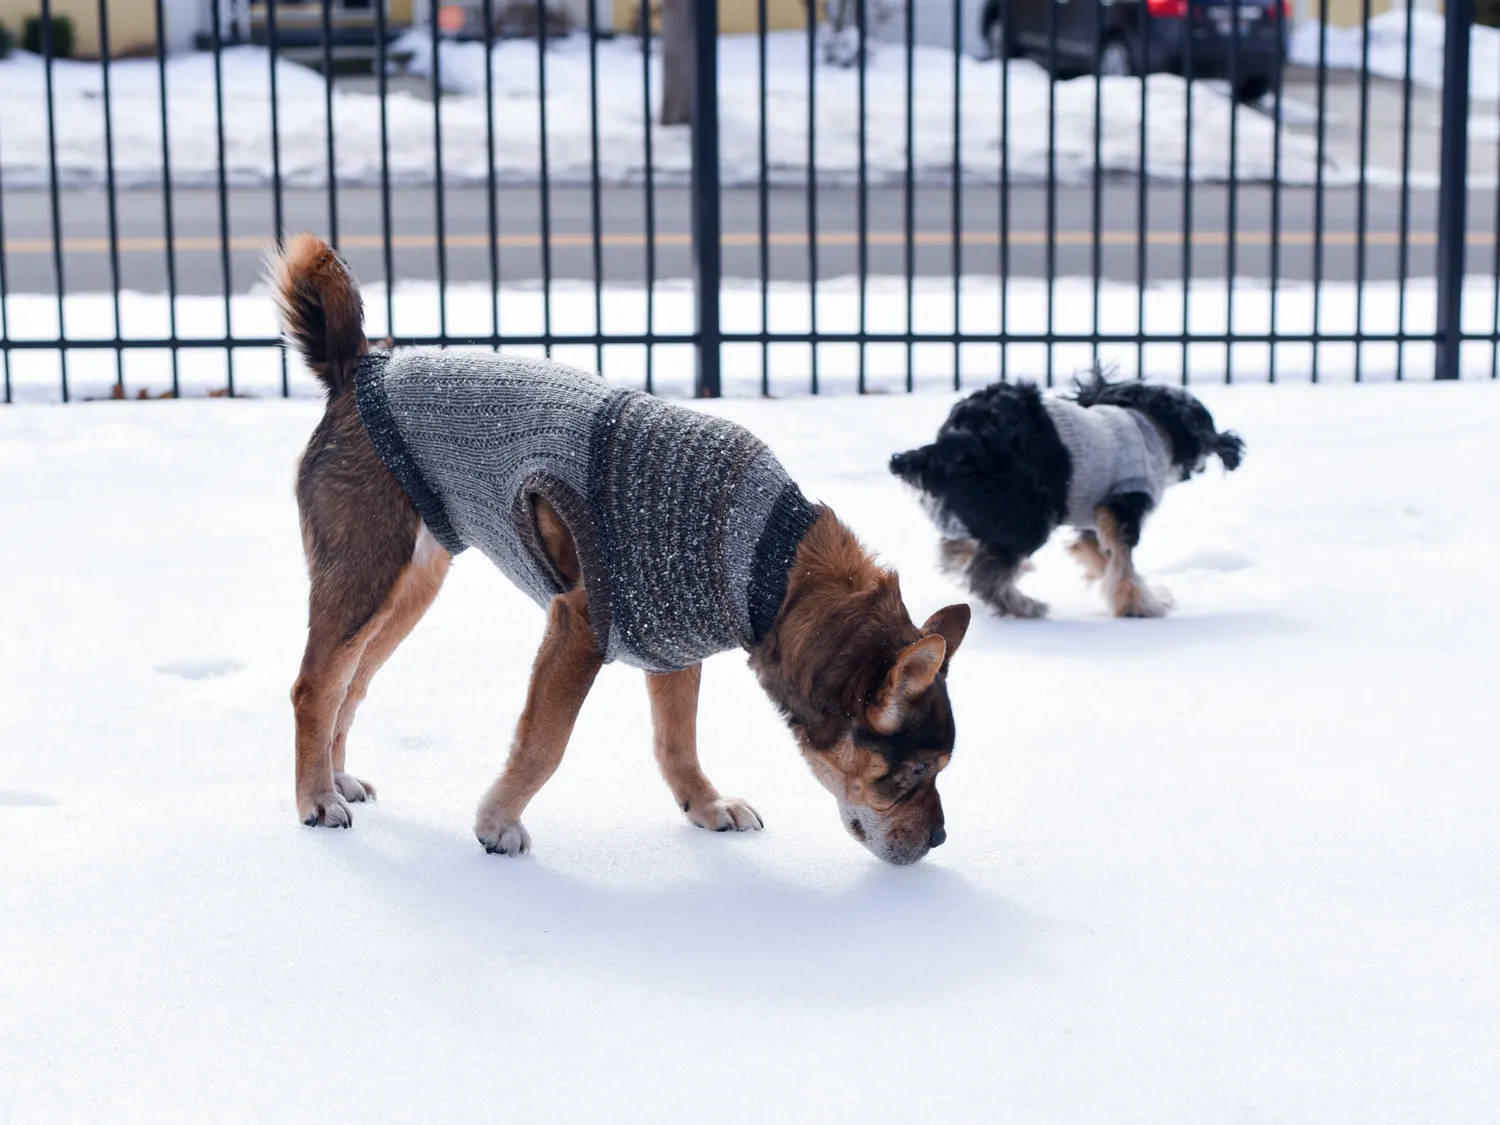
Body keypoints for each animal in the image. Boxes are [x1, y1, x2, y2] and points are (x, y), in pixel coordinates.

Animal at [271, 234, 972, 870]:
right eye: (915, 771)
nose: (941, 839)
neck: (769, 564)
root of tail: (360, 369)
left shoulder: (672, 647)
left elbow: (678, 742)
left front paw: (705, 805)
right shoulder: (579, 626)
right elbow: (545, 744)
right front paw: (498, 822)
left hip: (408, 587)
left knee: (351, 685)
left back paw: (336, 778)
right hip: (365, 573)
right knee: (315, 686)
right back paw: (315, 798)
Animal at [888, 375, 1242, 621]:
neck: (1154, 425)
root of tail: (945, 447)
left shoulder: (1096, 513)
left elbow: (1097, 552)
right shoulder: (1123, 504)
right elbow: (1122, 563)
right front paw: (1140, 604)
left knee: (964, 549)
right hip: (1029, 508)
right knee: (987, 573)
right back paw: (1024, 605)